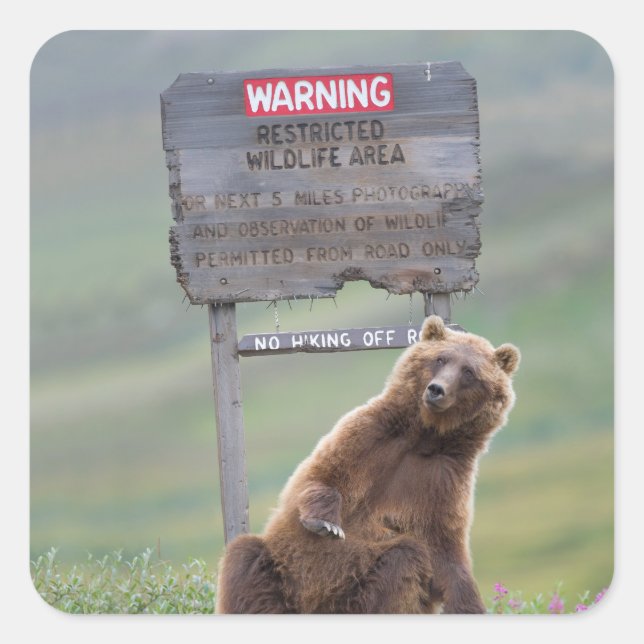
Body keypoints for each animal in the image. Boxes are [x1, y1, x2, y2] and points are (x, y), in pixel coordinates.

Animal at [216, 315, 520, 614]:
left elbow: (445, 549)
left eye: (469, 372)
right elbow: (321, 476)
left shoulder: (443, 478)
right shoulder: (371, 436)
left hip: (354, 592)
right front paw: (327, 523)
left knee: (403, 560)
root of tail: (311, 610)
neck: (423, 436)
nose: (436, 390)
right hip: (281, 570)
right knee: (245, 560)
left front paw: (470, 604)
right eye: (440, 359)